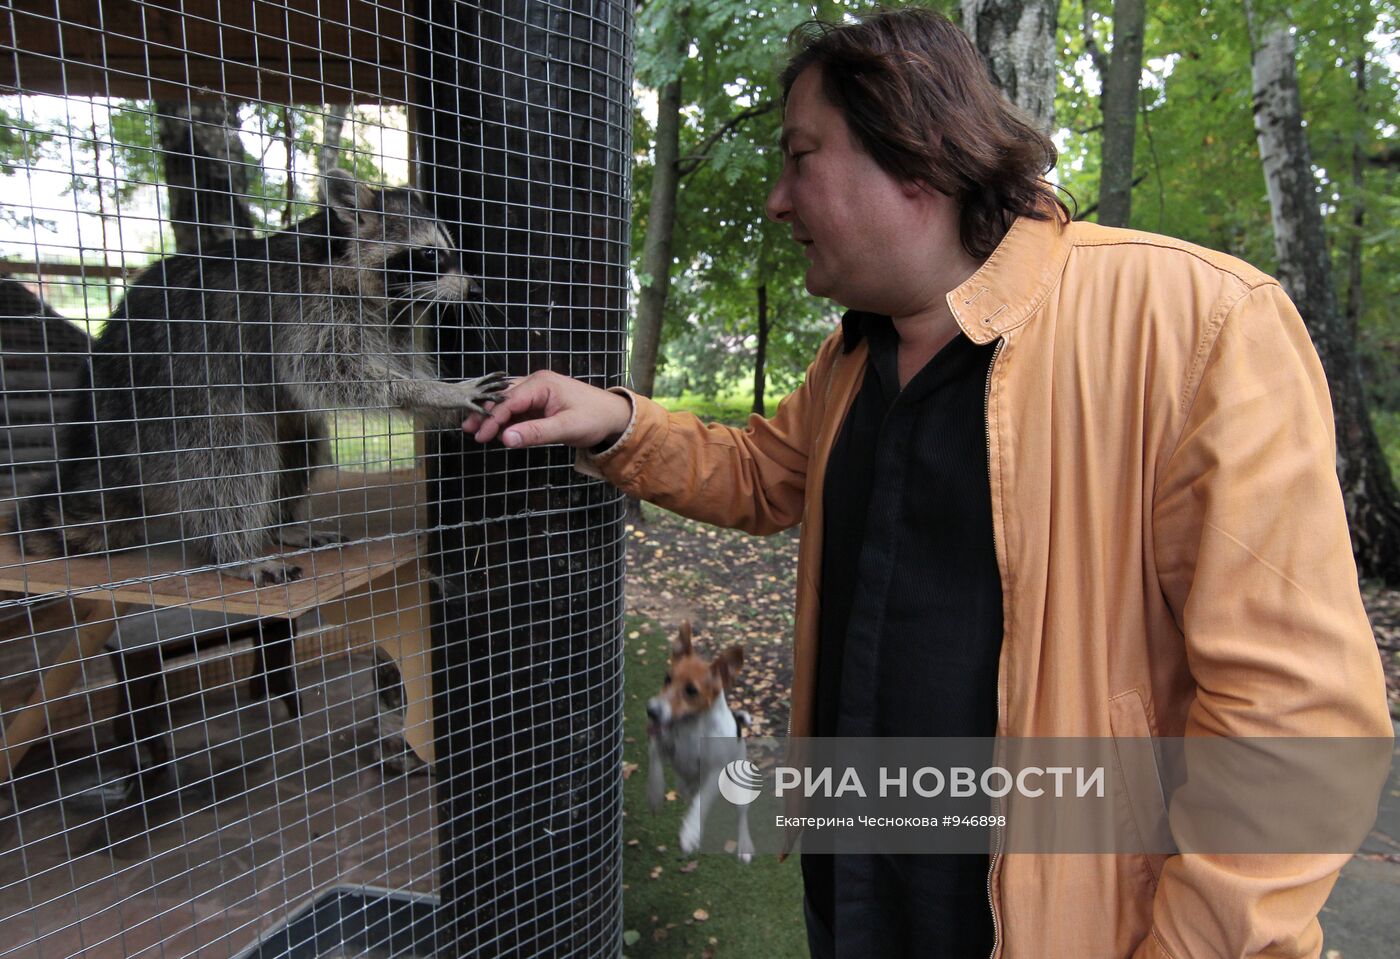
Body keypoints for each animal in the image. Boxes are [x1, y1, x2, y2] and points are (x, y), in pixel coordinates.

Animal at [13, 167, 506, 579]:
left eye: (451, 251)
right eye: (430, 255)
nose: (474, 289)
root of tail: (100, 429)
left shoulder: (394, 317)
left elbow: (392, 365)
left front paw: (432, 397)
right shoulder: (305, 309)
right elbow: (329, 372)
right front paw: (438, 393)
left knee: (297, 443)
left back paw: (279, 525)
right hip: (170, 401)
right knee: (233, 456)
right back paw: (233, 552)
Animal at [646, 621, 756, 862]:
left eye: (691, 691)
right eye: (667, 678)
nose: (652, 711)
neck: (692, 726)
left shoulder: (714, 773)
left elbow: (701, 803)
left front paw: (689, 833)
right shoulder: (659, 744)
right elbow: (655, 766)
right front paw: (655, 793)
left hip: (738, 789)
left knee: (741, 816)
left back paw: (744, 845)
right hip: (684, 783)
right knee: (688, 790)